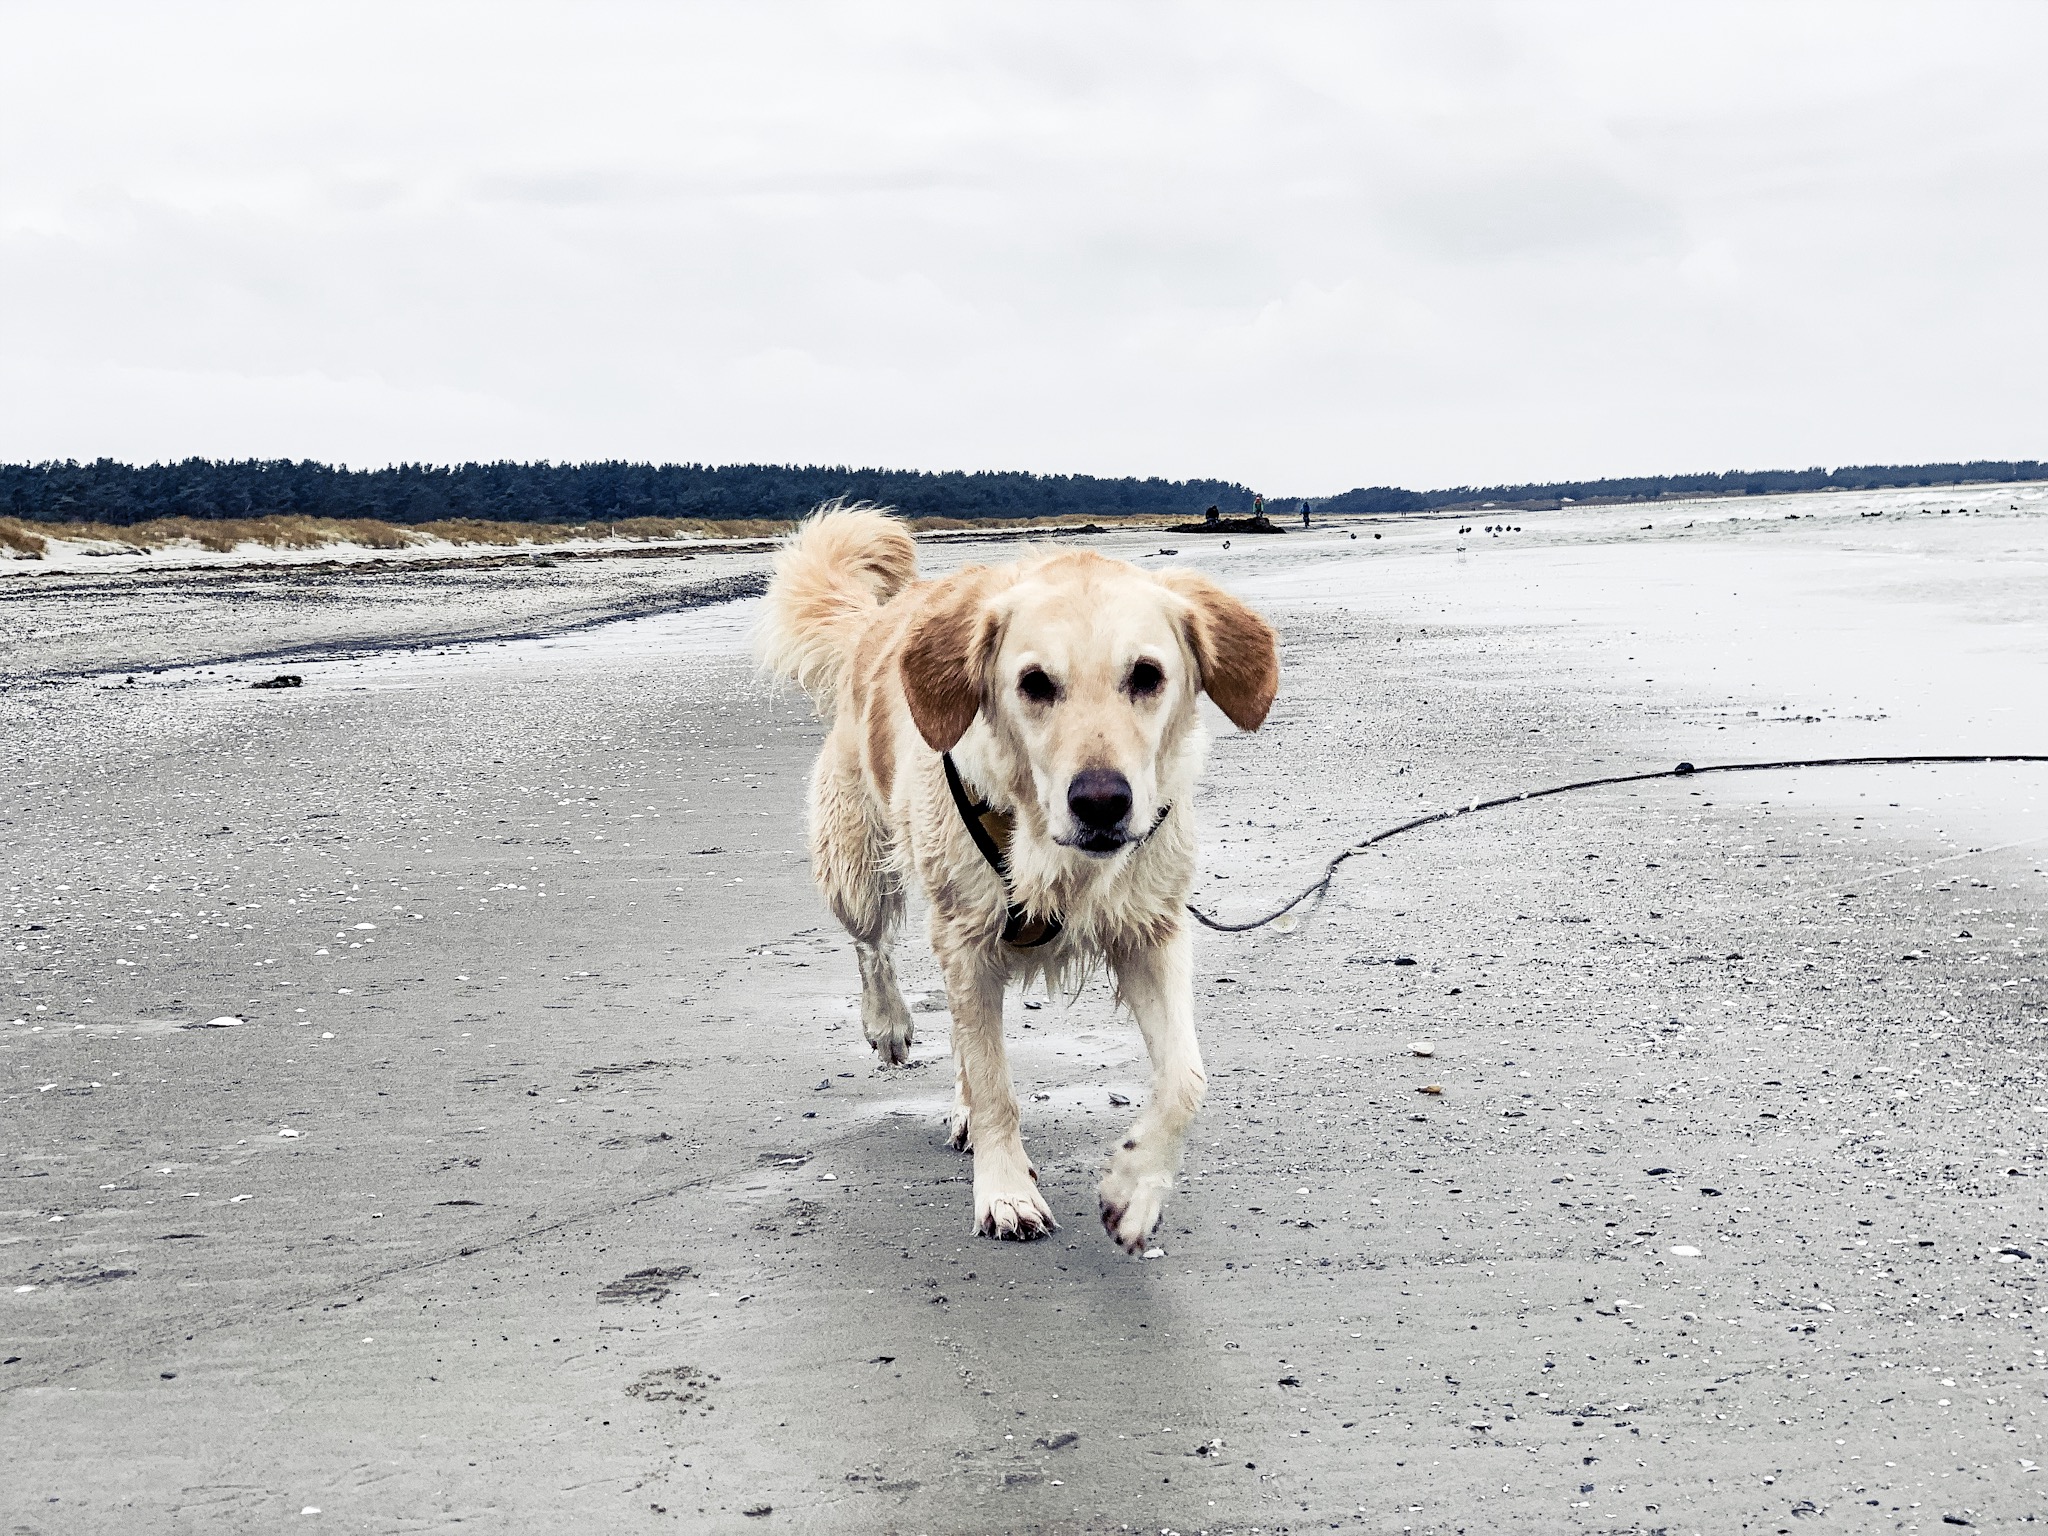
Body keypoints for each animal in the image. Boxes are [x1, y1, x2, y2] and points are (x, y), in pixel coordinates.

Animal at [765, 512, 1277, 1253]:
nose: (1101, 803)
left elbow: (1186, 1077)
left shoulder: (1150, 929)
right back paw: (888, 1023)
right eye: (1034, 683)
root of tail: (875, 627)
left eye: (1147, 675)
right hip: (856, 862)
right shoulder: (969, 939)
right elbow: (994, 1085)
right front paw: (1006, 1194)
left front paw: (1136, 1191)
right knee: (873, 947)